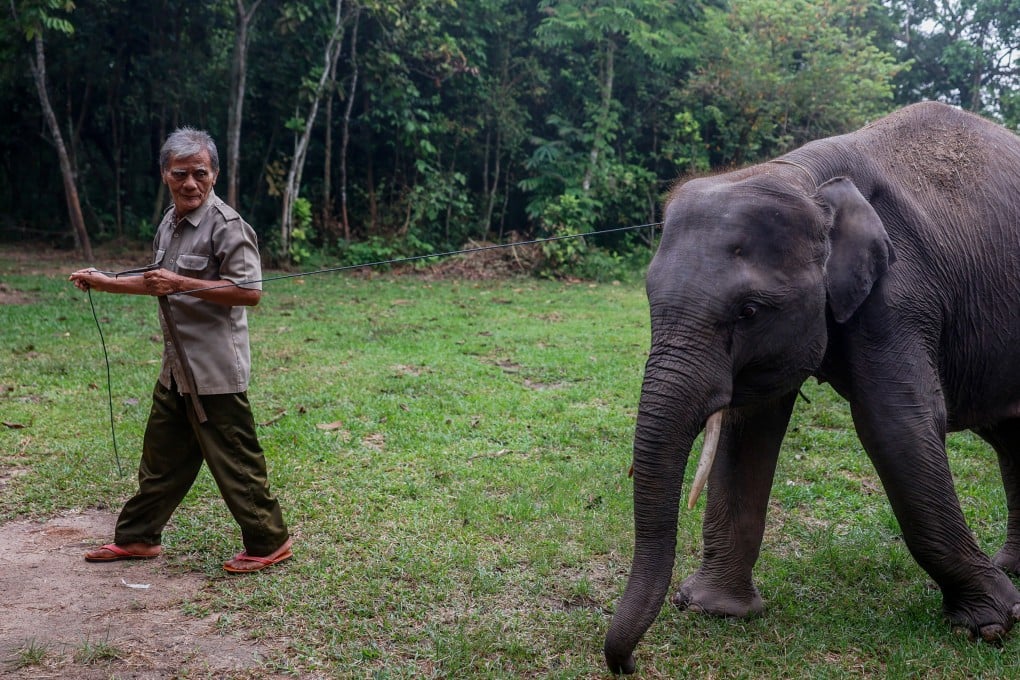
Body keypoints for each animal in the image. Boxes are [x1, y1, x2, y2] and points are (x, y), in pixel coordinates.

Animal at [604, 101, 1020, 674]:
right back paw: (1013, 565)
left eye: (748, 311)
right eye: (648, 297)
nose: (628, 665)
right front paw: (716, 609)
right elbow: (749, 432)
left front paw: (992, 625)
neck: (804, 175)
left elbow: (896, 426)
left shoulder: (901, 290)